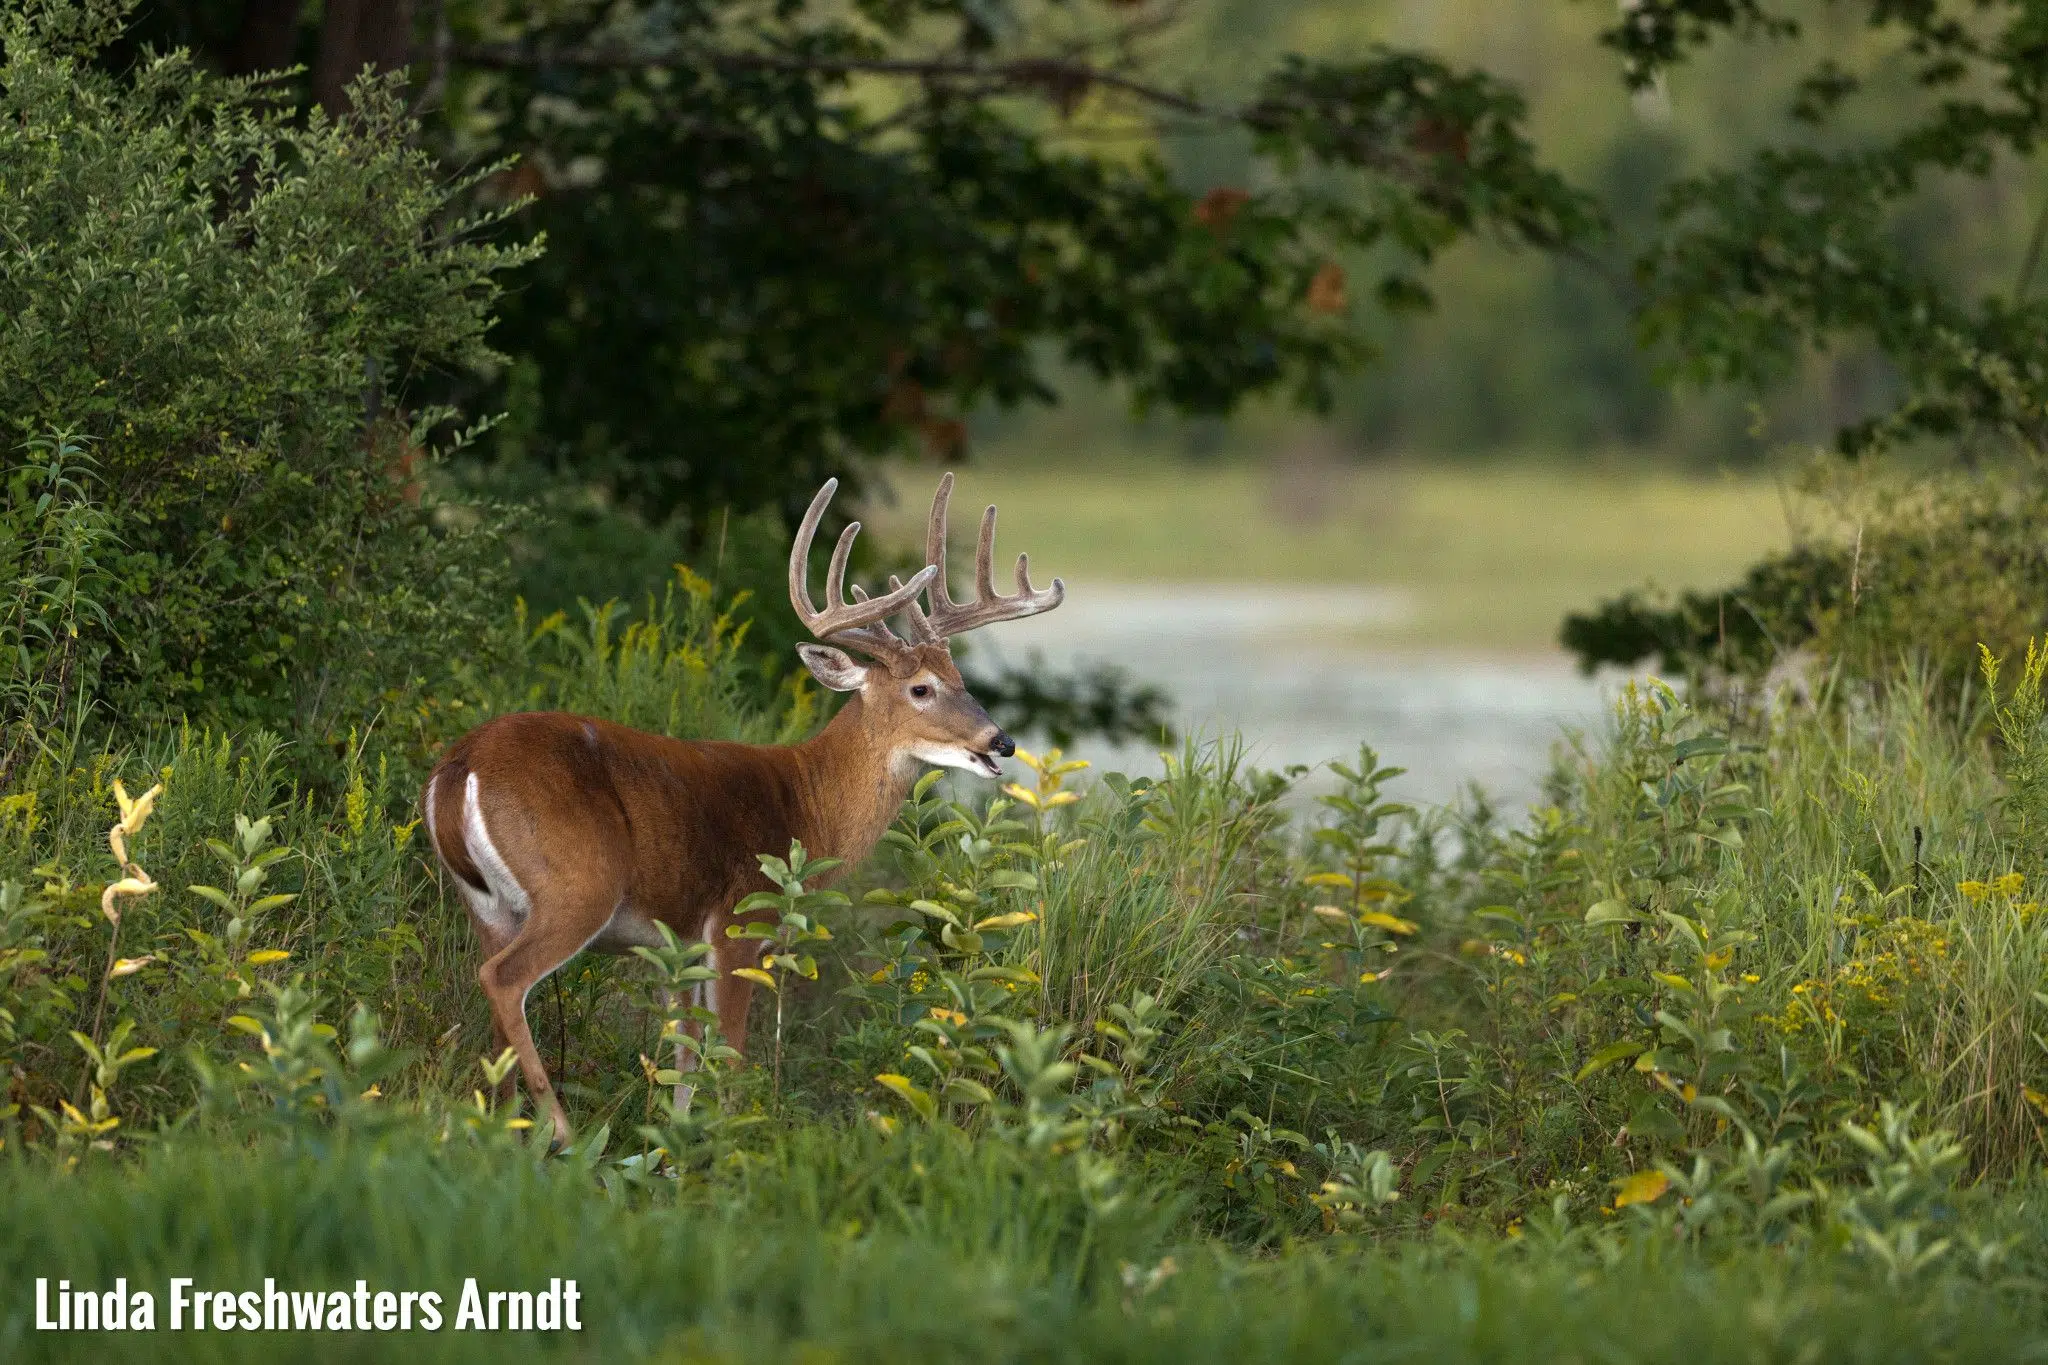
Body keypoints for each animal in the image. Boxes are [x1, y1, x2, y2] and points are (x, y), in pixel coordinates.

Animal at [420, 473, 1063, 1146]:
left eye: (961, 680)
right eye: (921, 688)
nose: (1001, 741)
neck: (808, 803)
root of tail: (459, 768)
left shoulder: (678, 947)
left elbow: (683, 1063)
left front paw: (675, 1148)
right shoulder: (738, 921)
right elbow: (727, 1060)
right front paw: (728, 1147)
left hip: (486, 905)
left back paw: (504, 1131)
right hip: (577, 882)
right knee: (502, 980)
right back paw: (562, 1132)